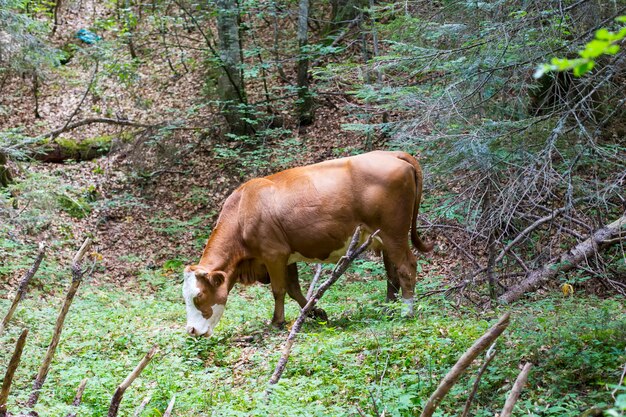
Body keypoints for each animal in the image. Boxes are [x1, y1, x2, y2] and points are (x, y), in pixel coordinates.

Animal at [183, 151, 432, 336]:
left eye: (199, 296)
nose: (191, 330)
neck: (243, 210)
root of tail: (392, 154)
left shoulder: (273, 254)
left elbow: (279, 290)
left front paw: (277, 322)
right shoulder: (286, 255)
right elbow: (294, 289)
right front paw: (316, 312)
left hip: (394, 233)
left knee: (406, 267)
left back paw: (406, 312)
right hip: (384, 238)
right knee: (391, 273)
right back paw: (388, 309)